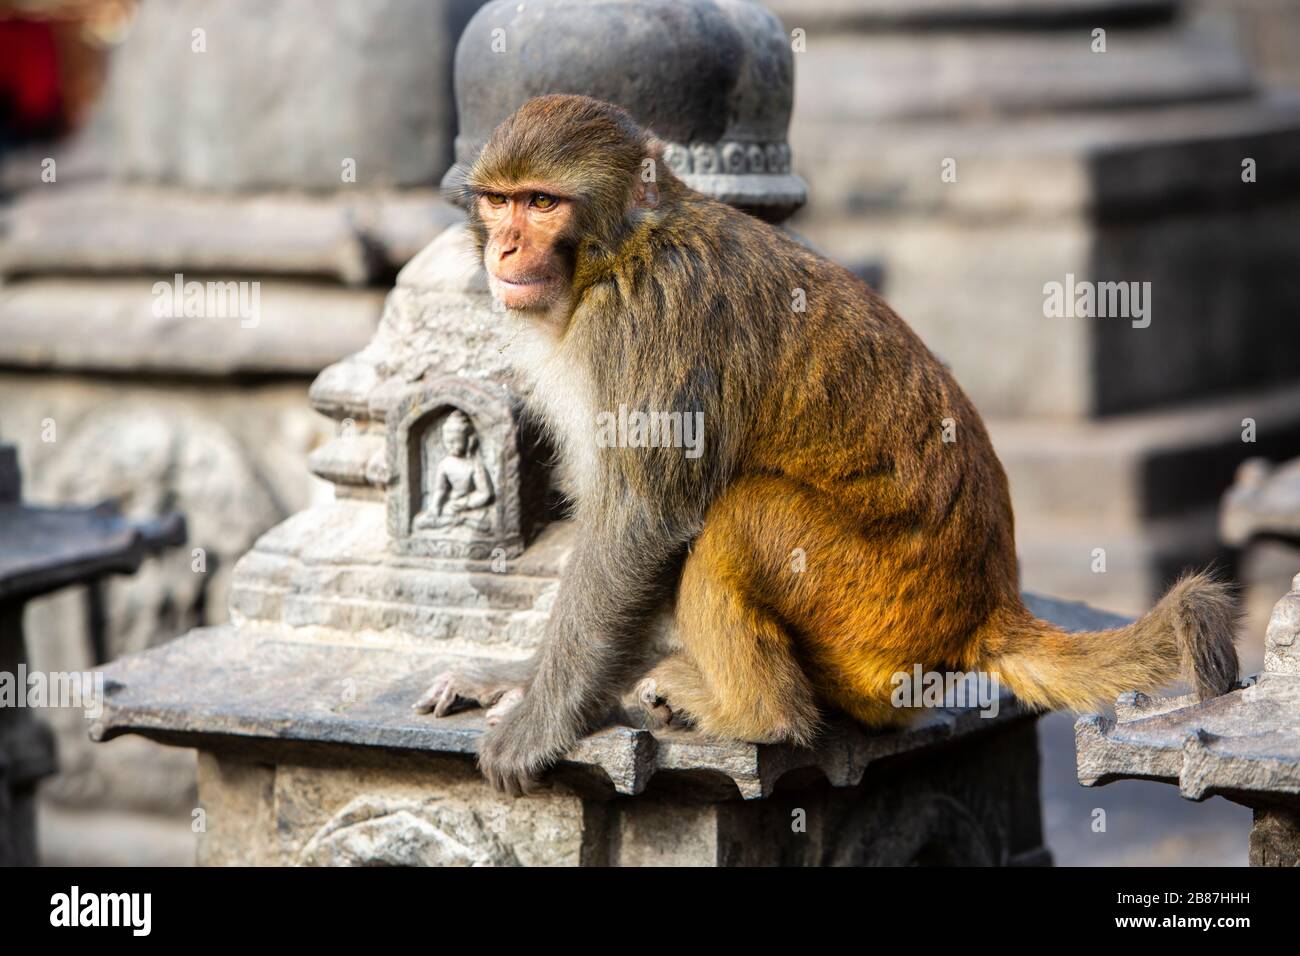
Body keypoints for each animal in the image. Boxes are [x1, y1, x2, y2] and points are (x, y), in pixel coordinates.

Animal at [413, 94, 1240, 796]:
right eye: (499, 200)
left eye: (543, 202)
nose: (506, 248)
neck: (618, 252)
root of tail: (986, 608)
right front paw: (518, 680)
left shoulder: (643, 322)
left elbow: (639, 523)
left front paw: (538, 723)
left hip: (875, 610)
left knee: (741, 514)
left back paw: (757, 714)